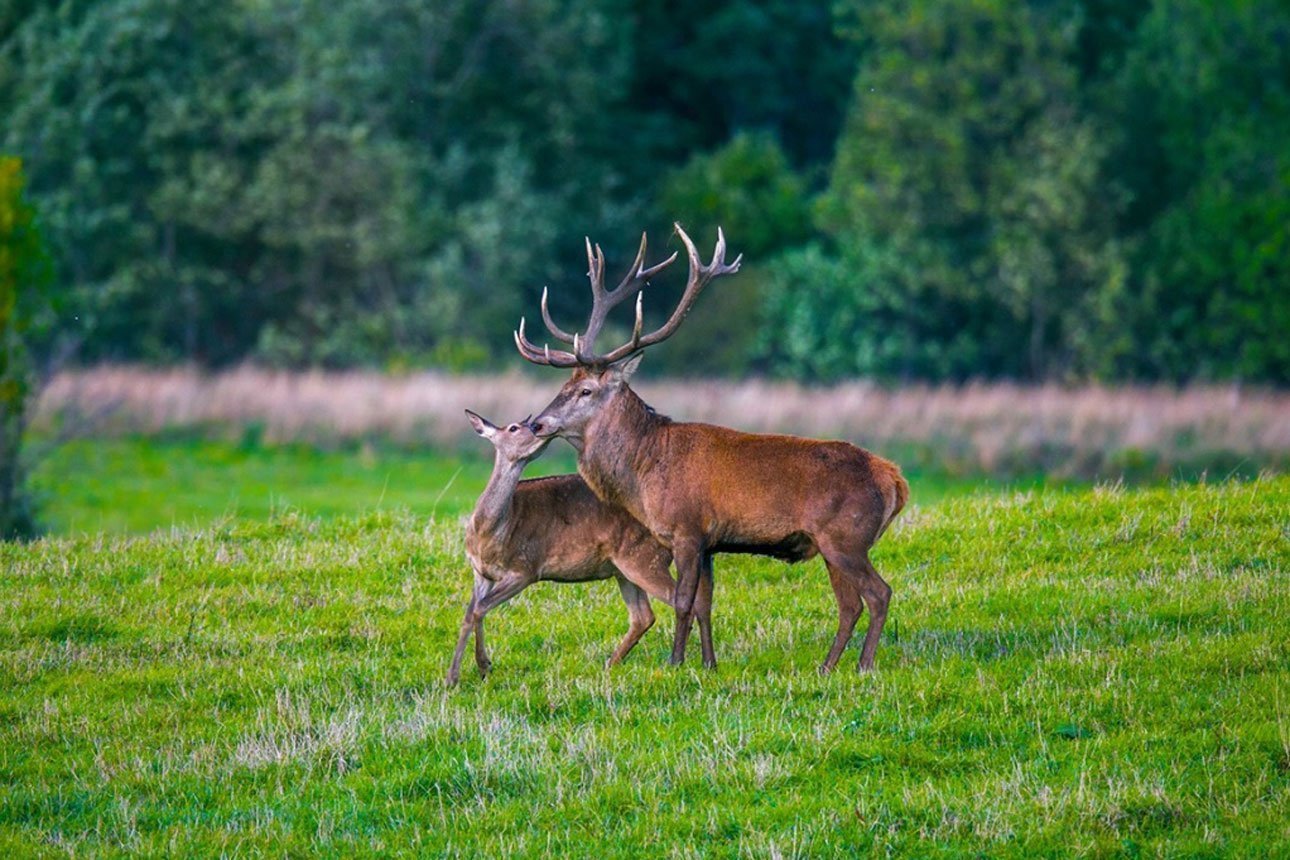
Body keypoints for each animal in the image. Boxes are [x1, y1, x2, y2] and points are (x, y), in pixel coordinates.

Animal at [448, 410, 717, 685]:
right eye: (514, 427)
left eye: (522, 424)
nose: (537, 428)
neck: (490, 533)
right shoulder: (480, 572)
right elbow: (470, 612)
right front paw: (459, 675)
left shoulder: (525, 568)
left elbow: (479, 609)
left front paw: (479, 668)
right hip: (624, 568)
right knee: (644, 615)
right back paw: (610, 663)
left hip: (643, 558)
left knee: (682, 601)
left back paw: (682, 662)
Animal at [513, 225, 908, 675]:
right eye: (563, 386)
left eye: (585, 390)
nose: (538, 423)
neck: (644, 470)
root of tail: (895, 479)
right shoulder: (709, 541)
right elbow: (706, 602)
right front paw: (708, 663)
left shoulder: (686, 528)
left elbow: (684, 600)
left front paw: (674, 662)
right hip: (832, 545)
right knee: (849, 604)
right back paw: (826, 667)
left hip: (846, 536)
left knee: (879, 593)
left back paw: (864, 666)